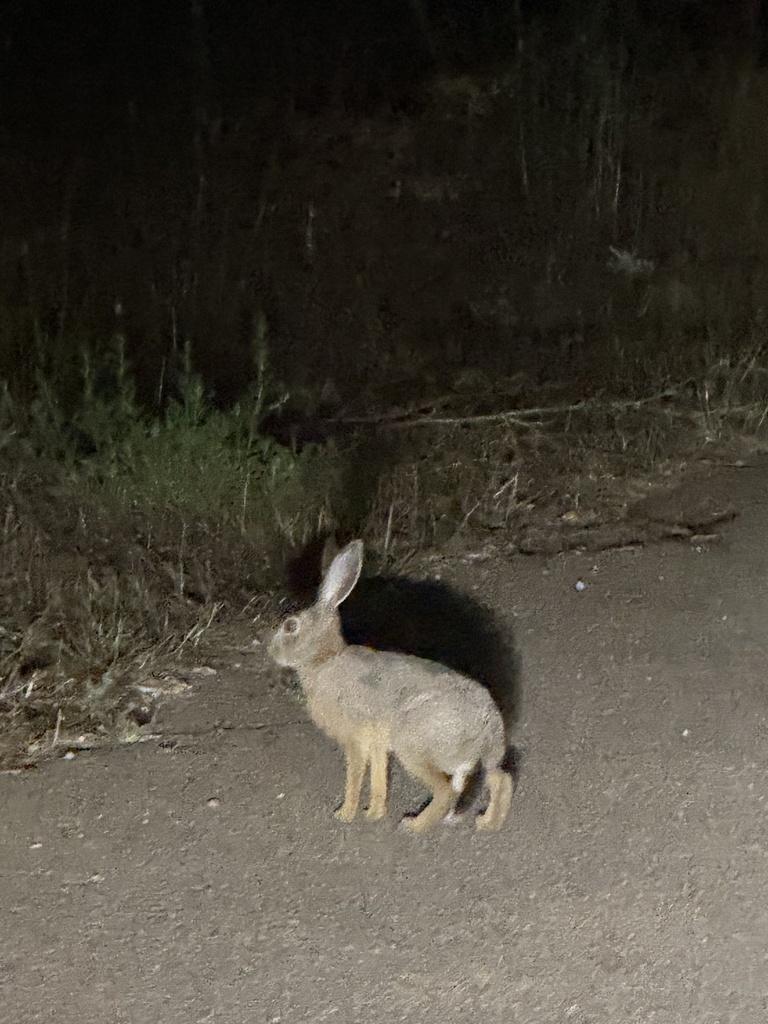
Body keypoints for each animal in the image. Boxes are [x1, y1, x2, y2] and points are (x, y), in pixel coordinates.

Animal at [268, 539, 514, 833]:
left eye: (290, 626)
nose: (271, 651)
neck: (323, 660)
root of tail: (489, 729)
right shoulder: (377, 743)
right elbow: (378, 778)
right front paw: (374, 813)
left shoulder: (355, 739)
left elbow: (355, 777)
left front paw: (345, 814)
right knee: (501, 779)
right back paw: (488, 822)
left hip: (413, 744)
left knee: (447, 791)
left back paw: (414, 826)